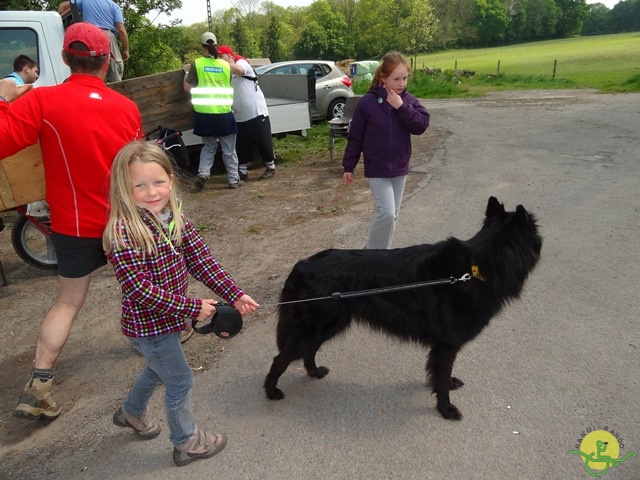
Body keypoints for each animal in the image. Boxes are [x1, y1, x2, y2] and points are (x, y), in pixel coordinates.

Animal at [262, 196, 544, 420]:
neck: (477, 267)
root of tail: (300, 265)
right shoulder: (447, 345)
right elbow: (441, 378)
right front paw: (446, 409)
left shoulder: (442, 346)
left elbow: (439, 375)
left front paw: (447, 388)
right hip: (316, 326)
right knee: (281, 358)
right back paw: (271, 390)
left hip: (330, 325)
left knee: (308, 350)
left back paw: (314, 371)